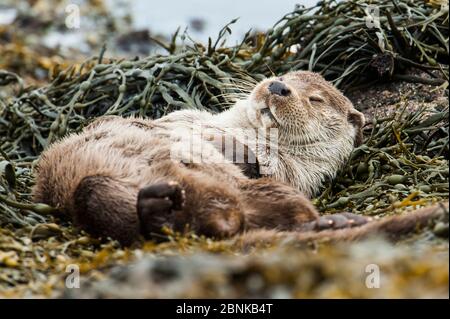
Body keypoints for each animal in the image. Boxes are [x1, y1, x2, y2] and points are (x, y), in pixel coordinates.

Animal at [32, 70, 442, 245]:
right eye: (284, 75)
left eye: (315, 99)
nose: (278, 86)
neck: (241, 130)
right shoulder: (182, 118)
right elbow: (122, 122)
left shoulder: (292, 176)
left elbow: (262, 164)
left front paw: (236, 152)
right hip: (91, 186)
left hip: (257, 194)